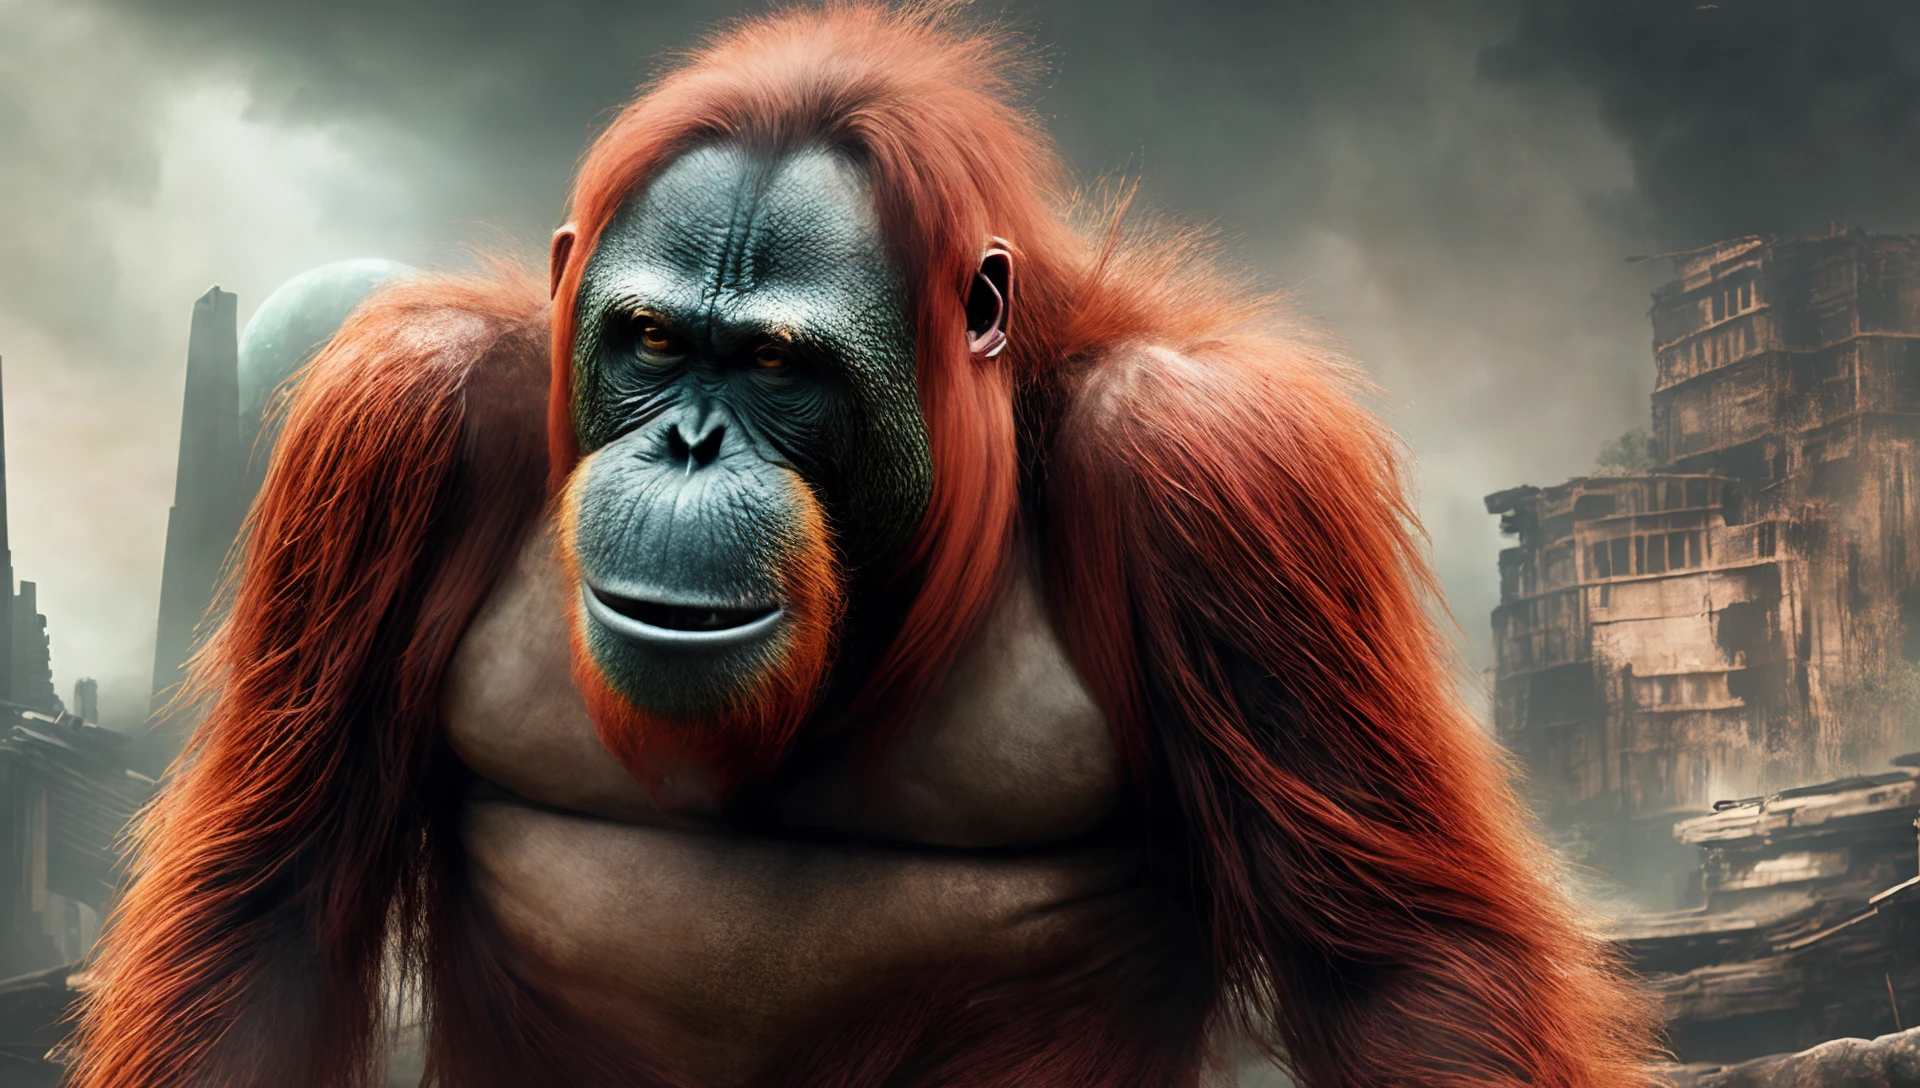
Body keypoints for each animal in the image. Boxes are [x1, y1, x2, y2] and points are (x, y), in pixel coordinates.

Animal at [72, 6, 1656, 1087]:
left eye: (780, 364)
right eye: (652, 341)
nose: (688, 444)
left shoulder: (1226, 468)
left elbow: (1401, 974)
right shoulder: (395, 421)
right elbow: (270, 915)